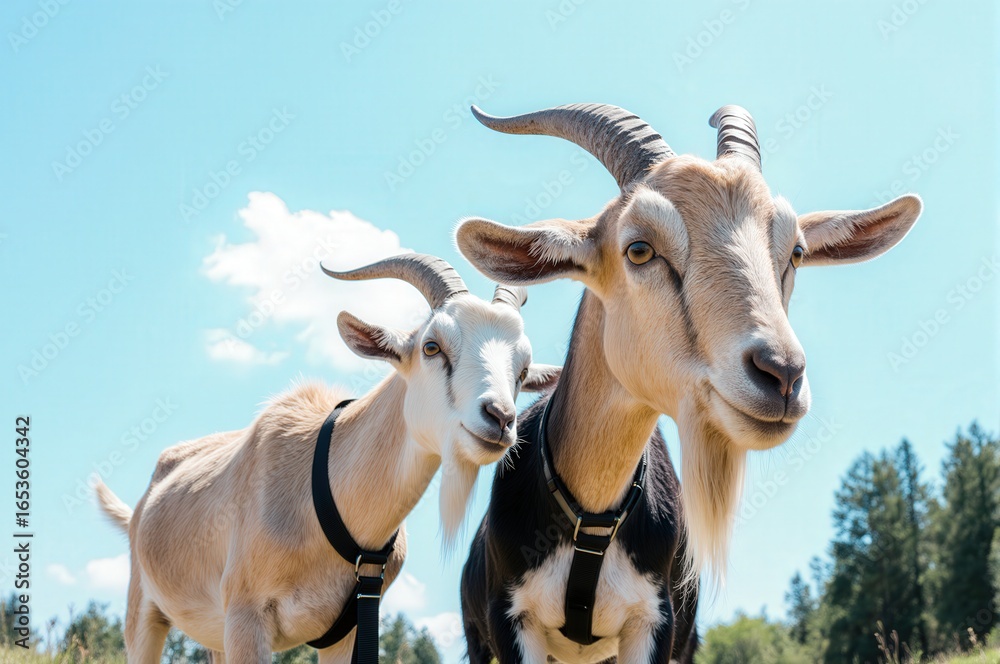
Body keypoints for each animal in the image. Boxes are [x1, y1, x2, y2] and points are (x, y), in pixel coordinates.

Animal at [95, 253, 560, 664]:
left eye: (523, 370)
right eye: (432, 346)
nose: (500, 418)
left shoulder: (347, 632)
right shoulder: (246, 616)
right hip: (144, 615)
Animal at [456, 103, 922, 663]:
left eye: (796, 251)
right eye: (638, 249)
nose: (782, 374)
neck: (592, 519)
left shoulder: (657, 622)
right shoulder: (511, 620)